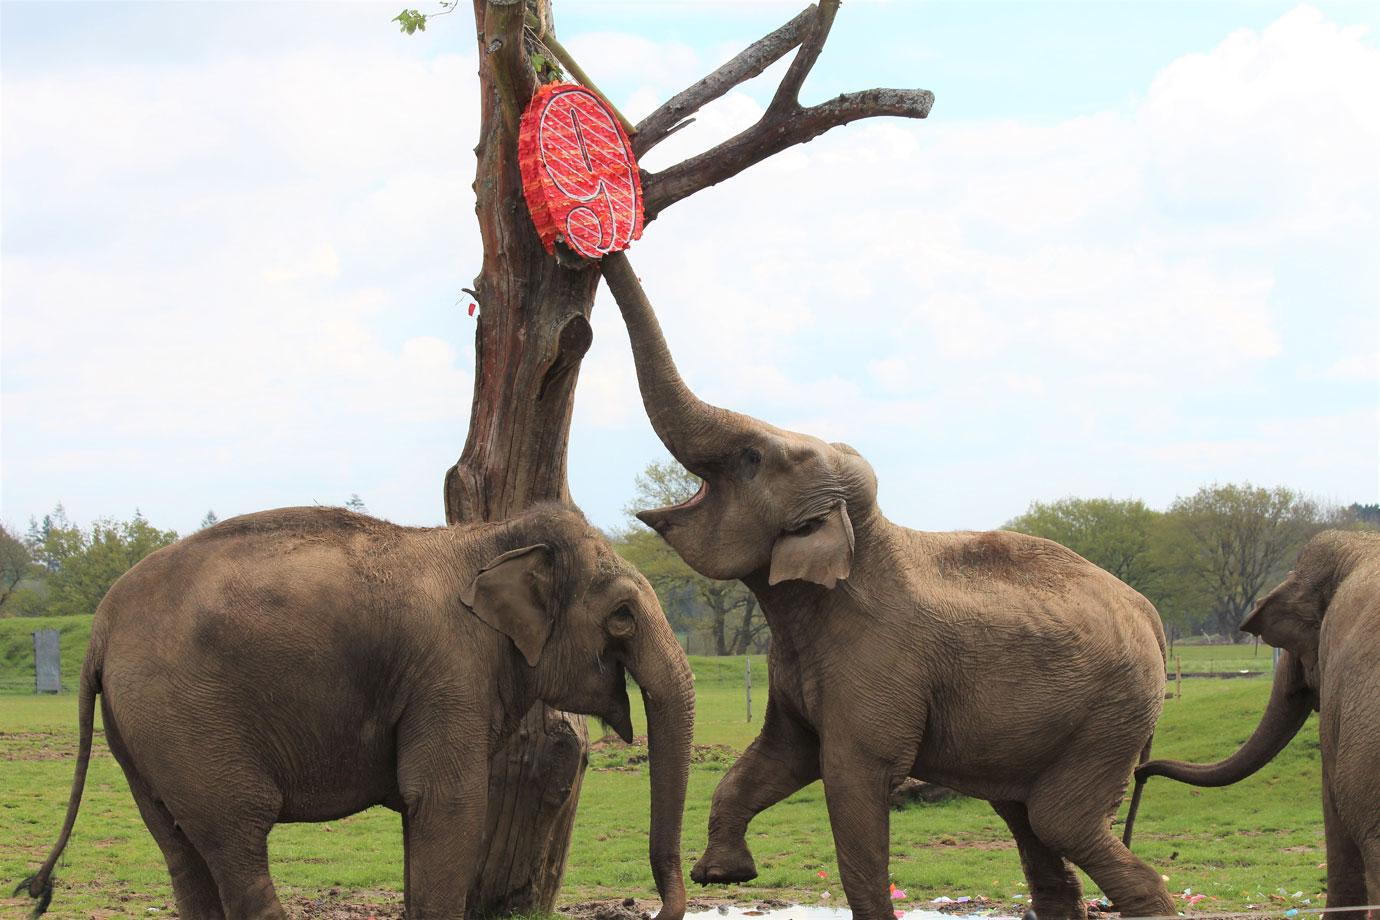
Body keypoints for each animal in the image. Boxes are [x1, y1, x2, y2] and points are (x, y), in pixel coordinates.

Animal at [16, 504, 695, 920]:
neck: (492, 535)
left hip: (138, 733)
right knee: (237, 837)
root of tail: (101, 628)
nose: (651, 911)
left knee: (180, 849)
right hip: (186, 721)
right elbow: (447, 802)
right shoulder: (448, 670)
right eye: (622, 617)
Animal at [601, 253, 1175, 920]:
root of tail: (1150, 614)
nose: (588, 251)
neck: (863, 542)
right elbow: (780, 754)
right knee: (1032, 826)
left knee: (1061, 822)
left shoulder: (880, 664)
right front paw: (724, 873)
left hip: (1110, 717)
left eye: (750, 458)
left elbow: (852, 781)